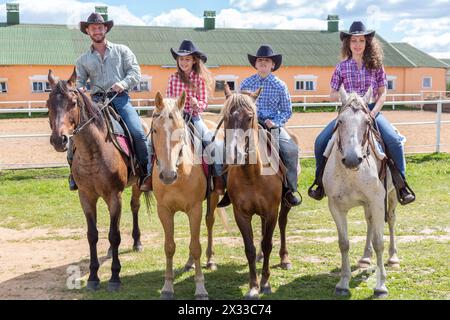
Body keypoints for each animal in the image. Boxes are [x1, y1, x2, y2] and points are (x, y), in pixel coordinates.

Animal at [46, 70, 148, 292]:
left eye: (73, 103)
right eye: (48, 103)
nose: (59, 140)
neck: (93, 151)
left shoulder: (114, 196)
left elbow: (114, 234)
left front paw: (115, 277)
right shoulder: (86, 196)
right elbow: (92, 235)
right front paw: (93, 277)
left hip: (137, 184)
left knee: (134, 207)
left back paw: (137, 242)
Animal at [151, 90, 220, 300]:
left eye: (180, 131)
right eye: (155, 130)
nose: (167, 175)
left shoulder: (195, 209)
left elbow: (196, 247)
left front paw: (200, 288)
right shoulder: (164, 210)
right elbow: (169, 246)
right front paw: (167, 287)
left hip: (213, 198)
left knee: (209, 222)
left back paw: (210, 260)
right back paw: (189, 264)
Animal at [221, 86, 298, 298]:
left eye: (249, 117)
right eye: (226, 116)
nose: (234, 154)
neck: (252, 174)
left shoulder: (272, 210)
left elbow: (267, 243)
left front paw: (265, 283)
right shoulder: (241, 214)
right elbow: (250, 248)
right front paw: (253, 286)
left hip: (284, 205)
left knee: (282, 224)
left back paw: (285, 259)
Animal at [324, 87, 400, 298]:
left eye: (367, 122)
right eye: (340, 121)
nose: (352, 159)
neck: (351, 174)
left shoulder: (377, 202)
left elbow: (379, 241)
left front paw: (381, 286)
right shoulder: (336, 206)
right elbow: (344, 243)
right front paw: (343, 283)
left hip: (391, 197)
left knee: (391, 221)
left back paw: (393, 257)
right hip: (367, 206)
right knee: (369, 223)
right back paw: (366, 258)